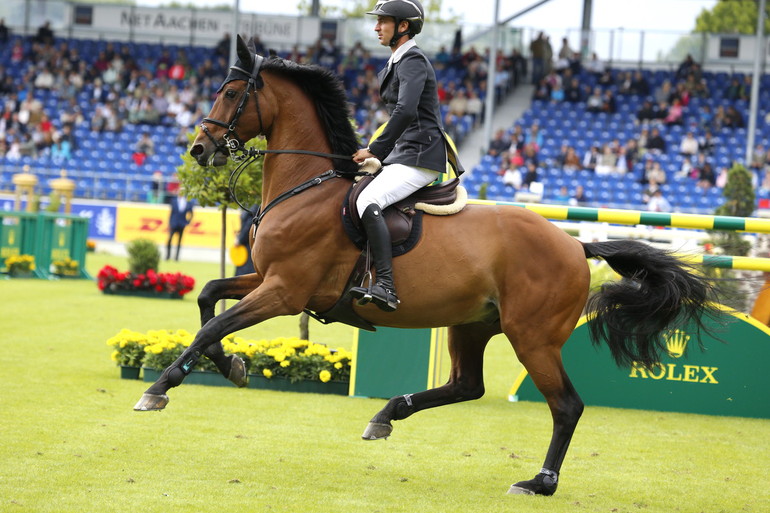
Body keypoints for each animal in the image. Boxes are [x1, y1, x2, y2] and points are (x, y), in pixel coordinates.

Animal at [136, 34, 720, 494]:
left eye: (232, 93)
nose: (199, 150)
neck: (308, 187)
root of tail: (577, 246)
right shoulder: (266, 278)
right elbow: (209, 298)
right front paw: (231, 366)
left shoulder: (285, 291)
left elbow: (212, 325)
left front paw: (159, 387)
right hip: (474, 324)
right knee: (468, 387)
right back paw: (385, 416)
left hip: (532, 337)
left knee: (566, 406)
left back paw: (539, 482)